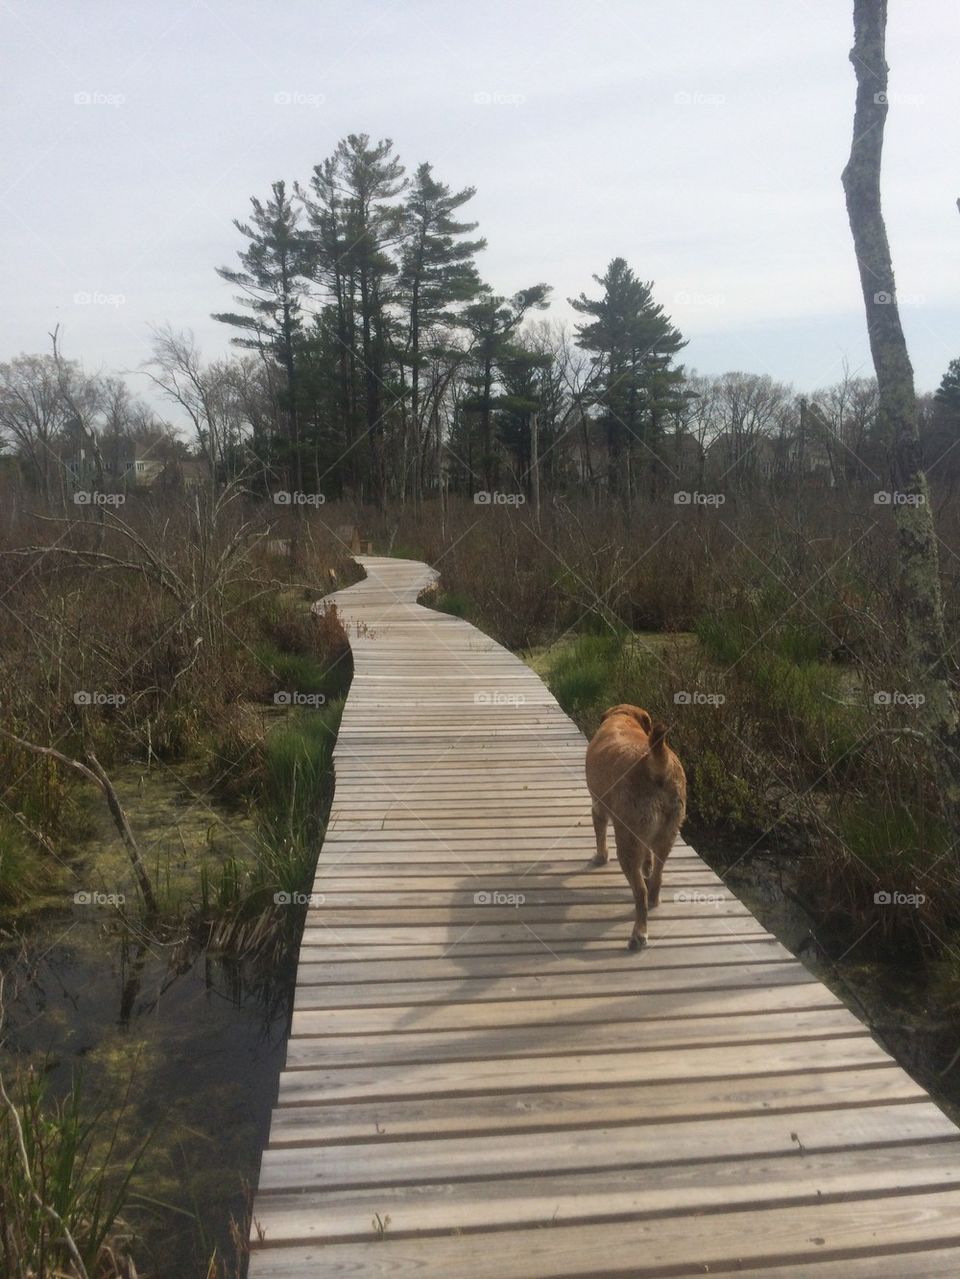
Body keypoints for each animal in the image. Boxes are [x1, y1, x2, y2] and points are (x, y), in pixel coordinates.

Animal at [582, 711, 685, 951]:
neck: (623, 717)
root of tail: (658, 764)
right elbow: (647, 855)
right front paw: (647, 865)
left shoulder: (598, 807)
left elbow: (600, 836)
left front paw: (600, 857)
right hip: (666, 835)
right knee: (656, 877)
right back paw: (654, 897)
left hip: (627, 844)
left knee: (640, 892)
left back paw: (639, 933)